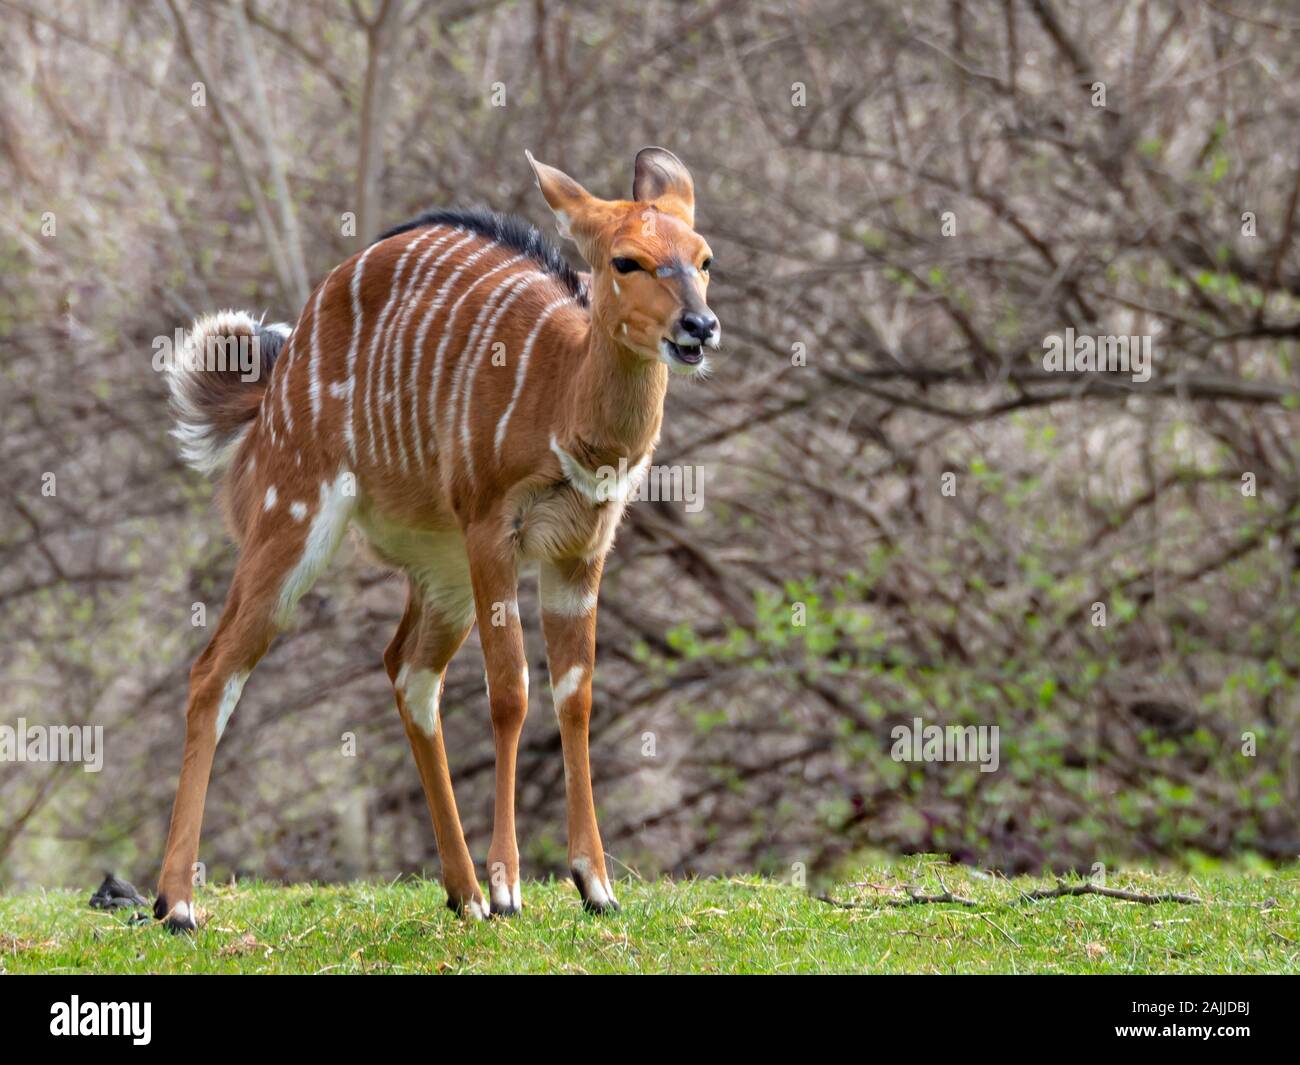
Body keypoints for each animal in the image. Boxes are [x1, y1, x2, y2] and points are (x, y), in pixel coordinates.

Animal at [157, 145, 722, 931]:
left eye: (703, 258)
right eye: (627, 260)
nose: (700, 327)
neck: (561, 401)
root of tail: (272, 383)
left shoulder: (580, 552)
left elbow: (574, 695)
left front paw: (596, 885)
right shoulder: (493, 529)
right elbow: (511, 692)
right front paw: (513, 887)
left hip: (440, 570)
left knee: (407, 669)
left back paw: (463, 893)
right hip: (291, 520)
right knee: (216, 669)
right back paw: (176, 903)